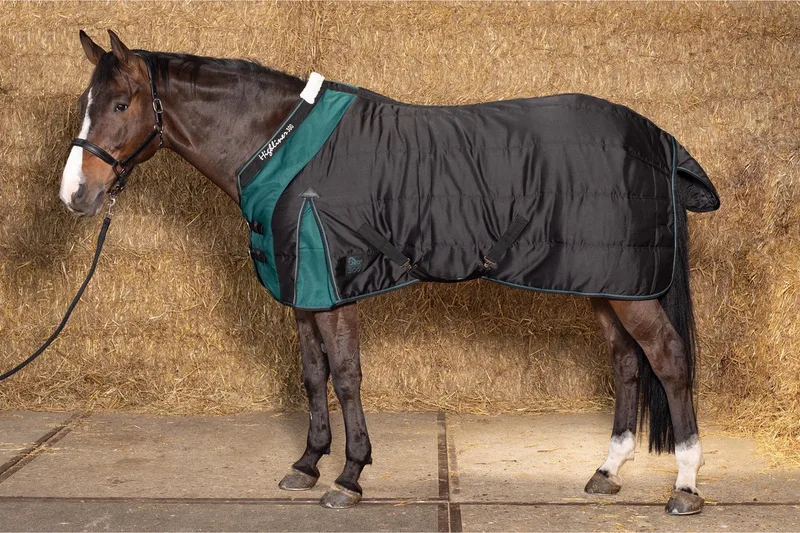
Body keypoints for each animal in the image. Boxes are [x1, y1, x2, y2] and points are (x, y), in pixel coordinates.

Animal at [59, 30, 719, 514]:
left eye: (120, 104)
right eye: (86, 106)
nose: (75, 195)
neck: (279, 145)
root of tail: (657, 137)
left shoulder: (333, 284)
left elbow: (347, 376)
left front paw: (349, 476)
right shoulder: (304, 291)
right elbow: (313, 375)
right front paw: (307, 465)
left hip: (629, 289)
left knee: (667, 358)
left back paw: (685, 486)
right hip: (606, 281)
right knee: (627, 362)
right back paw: (607, 471)